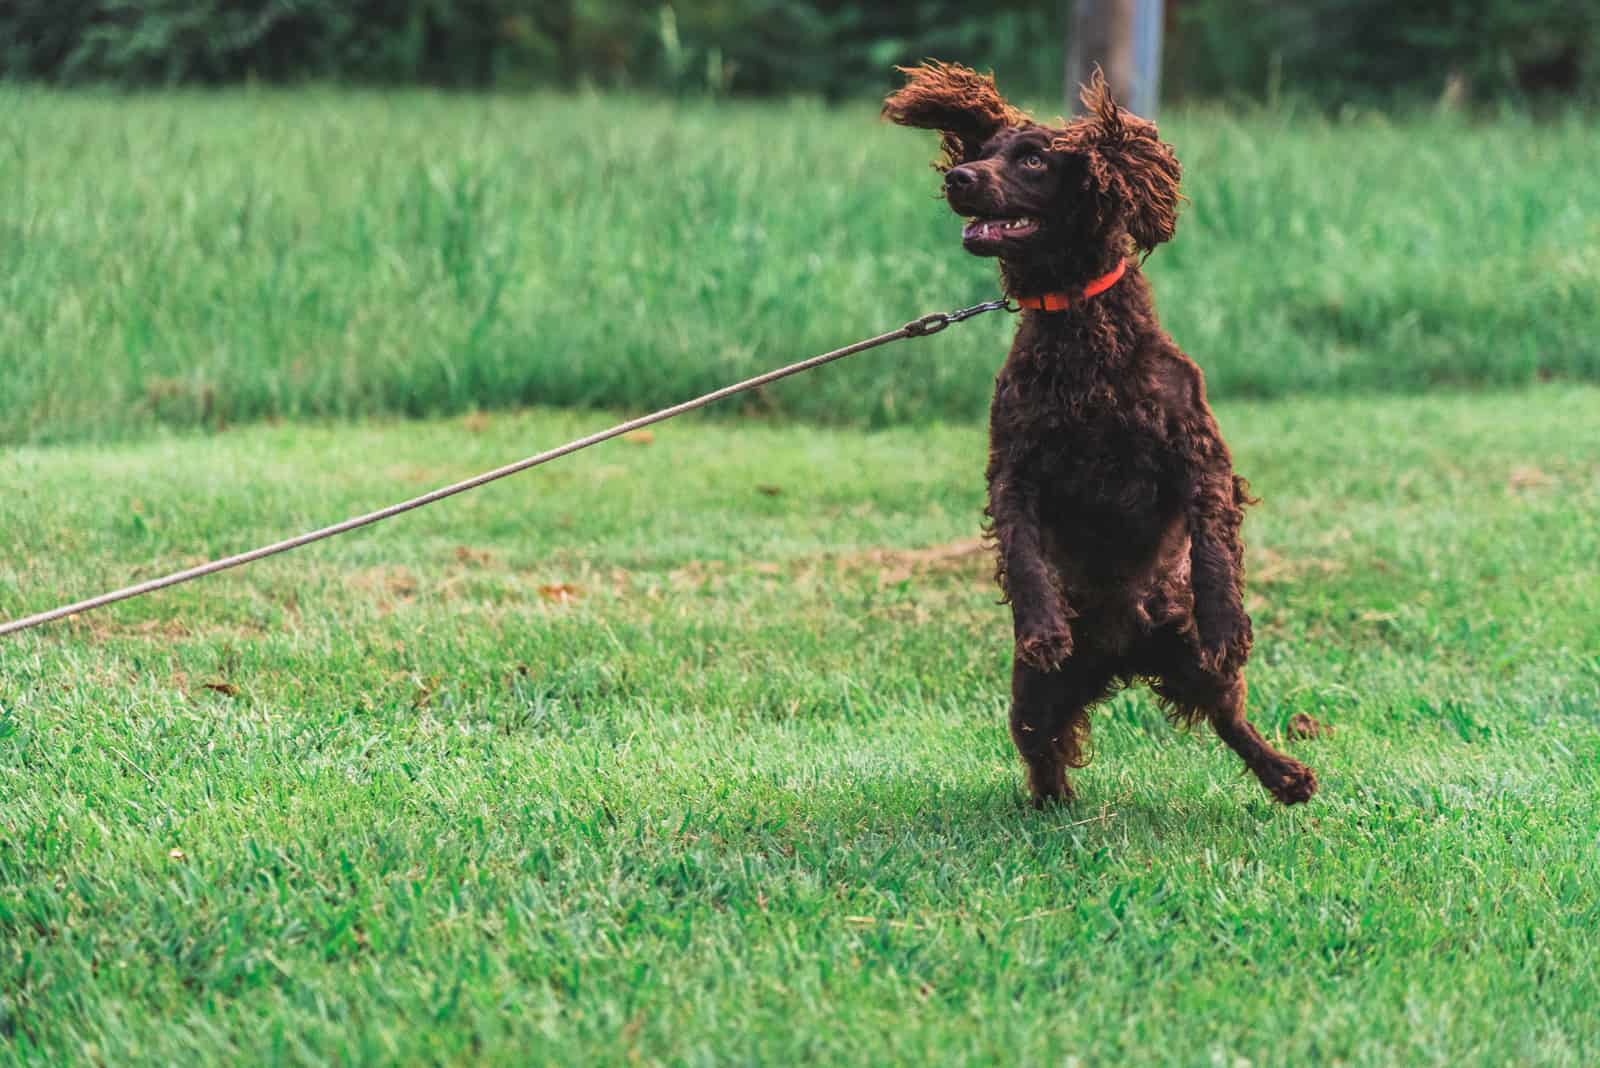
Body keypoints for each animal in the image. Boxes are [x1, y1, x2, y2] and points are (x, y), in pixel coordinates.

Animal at [889, 62, 1312, 805]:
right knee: (1043, 748)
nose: (960, 177)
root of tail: (1124, 651)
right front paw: (1040, 625)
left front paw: (1228, 624)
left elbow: (1213, 551)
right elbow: (1023, 554)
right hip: (1034, 694)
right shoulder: (1014, 469)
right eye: (982, 149)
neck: (1079, 330)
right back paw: (1050, 805)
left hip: (1192, 660)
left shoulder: (1200, 456)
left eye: (1032, 159)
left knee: (1231, 720)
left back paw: (1286, 775)